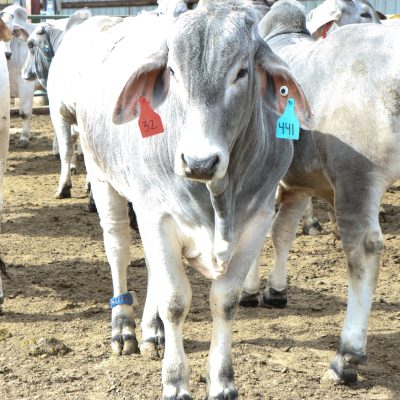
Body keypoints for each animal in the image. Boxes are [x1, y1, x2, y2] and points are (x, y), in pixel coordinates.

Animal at [47, 1, 314, 398]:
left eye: (241, 72)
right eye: (172, 71)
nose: (200, 162)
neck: (218, 198)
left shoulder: (257, 219)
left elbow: (226, 302)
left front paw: (222, 381)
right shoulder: (158, 214)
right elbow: (175, 302)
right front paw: (175, 381)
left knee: (152, 266)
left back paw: (151, 332)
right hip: (103, 179)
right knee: (118, 250)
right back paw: (124, 329)